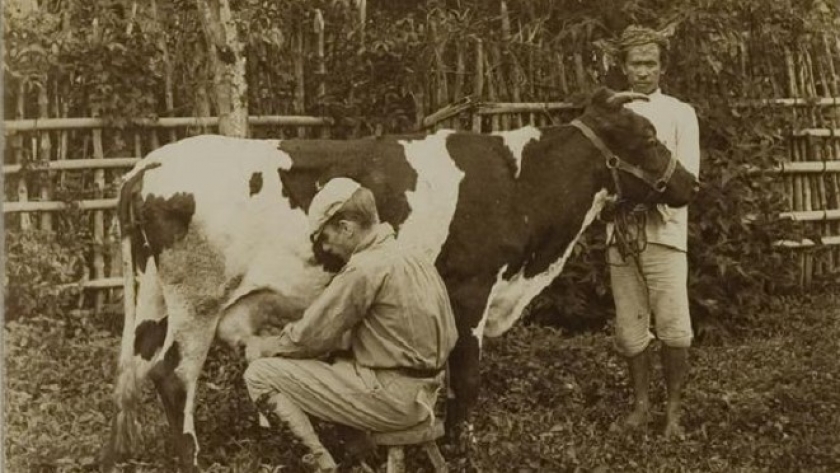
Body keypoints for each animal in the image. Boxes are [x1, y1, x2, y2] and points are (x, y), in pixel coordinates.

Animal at [101, 87, 700, 468]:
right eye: (648, 139)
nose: (691, 185)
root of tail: (148, 164)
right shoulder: (470, 286)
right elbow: (467, 374)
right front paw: (463, 445)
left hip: (153, 297)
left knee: (135, 368)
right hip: (197, 300)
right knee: (173, 376)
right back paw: (190, 458)